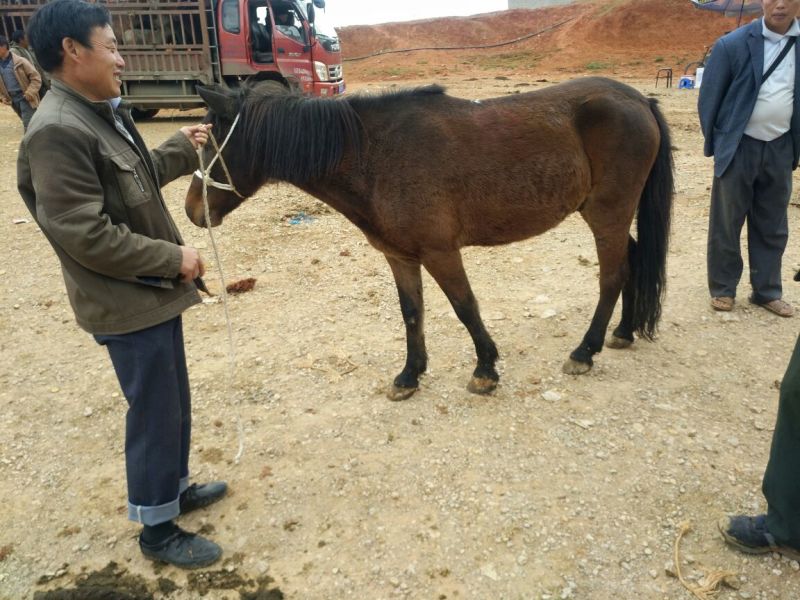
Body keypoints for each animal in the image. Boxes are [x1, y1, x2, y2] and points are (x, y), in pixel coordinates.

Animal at [185, 77, 673, 401]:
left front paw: (485, 369)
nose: (192, 210)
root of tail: (637, 98)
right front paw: (409, 375)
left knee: (611, 277)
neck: (374, 153)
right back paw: (624, 332)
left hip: (606, 214)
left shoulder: (441, 253)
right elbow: (411, 313)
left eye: (209, 144)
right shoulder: (401, 257)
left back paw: (585, 351)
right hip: (609, 217)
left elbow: (464, 307)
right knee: (631, 262)